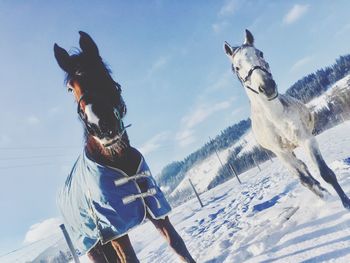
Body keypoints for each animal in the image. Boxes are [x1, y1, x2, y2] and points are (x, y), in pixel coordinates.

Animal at [54, 32, 194, 262]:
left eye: (102, 70)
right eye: (69, 88)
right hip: (93, 245)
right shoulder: (115, 229)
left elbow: (178, 245)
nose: (101, 124)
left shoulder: (156, 208)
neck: (117, 159)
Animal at [224, 29, 350, 210]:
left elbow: (326, 173)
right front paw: (325, 196)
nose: (267, 87)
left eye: (260, 53)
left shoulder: (307, 140)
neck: (275, 118)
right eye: (237, 67)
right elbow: (304, 180)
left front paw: (345, 203)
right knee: (303, 169)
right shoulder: (282, 154)